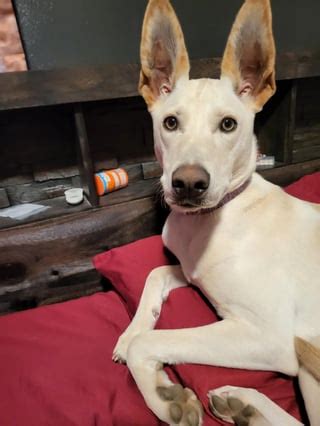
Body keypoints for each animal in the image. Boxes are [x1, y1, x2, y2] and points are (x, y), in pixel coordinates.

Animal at [113, 1, 320, 424]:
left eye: (228, 124)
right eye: (170, 122)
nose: (189, 185)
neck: (212, 219)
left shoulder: (268, 337)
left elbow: (153, 342)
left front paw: (163, 396)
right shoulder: (191, 271)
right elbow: (155, 274)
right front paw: (129, 333)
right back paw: (244, 406)